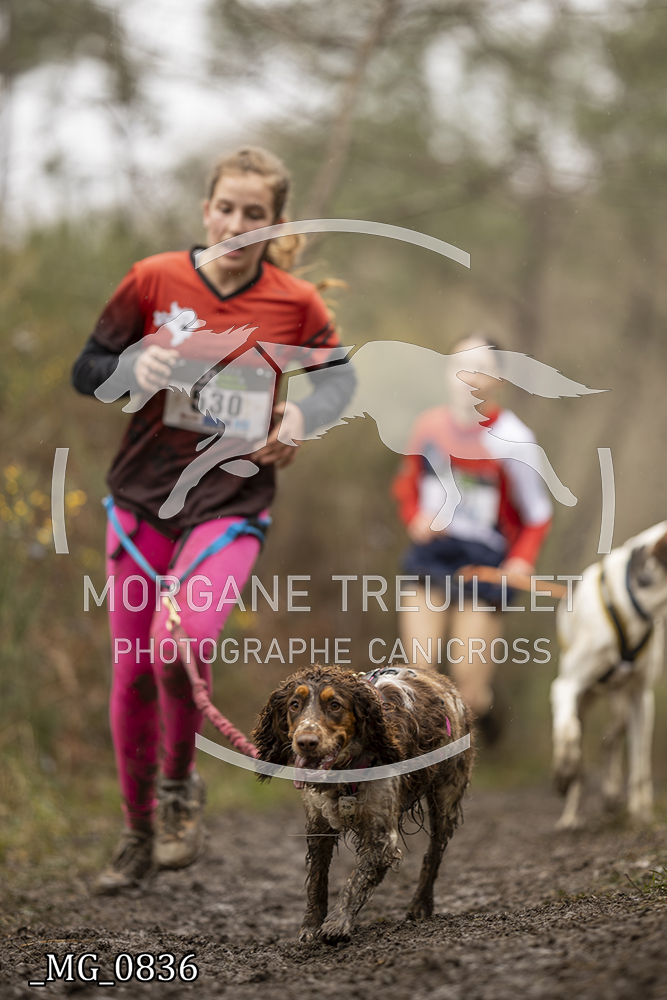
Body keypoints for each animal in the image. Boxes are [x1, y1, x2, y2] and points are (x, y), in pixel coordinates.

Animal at [252, 663, 473, 944]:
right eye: (294, 704)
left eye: (335, 705)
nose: (306, 742)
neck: (344, 773)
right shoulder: (317, 824)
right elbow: (317, 880)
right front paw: (311, 927)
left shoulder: (382, 837)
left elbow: (356, 880)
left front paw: (336, 924)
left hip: (446, 796)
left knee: (433, 853)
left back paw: (420, 905)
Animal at [551, 521, 667, 829]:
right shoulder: (566, 686)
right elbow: (568, 733)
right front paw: (565, 769)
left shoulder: (641, 698)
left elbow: (639, 763)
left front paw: (640, 812)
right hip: (587, 698)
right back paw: (570, 815)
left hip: (625, 704)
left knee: (613, 739)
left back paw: (614, 793)